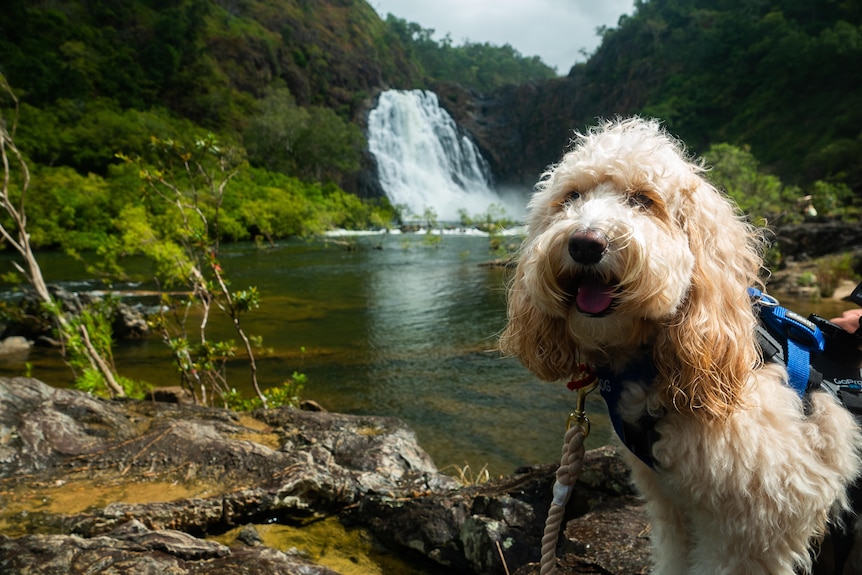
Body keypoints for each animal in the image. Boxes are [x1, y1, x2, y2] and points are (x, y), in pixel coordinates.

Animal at [502, 118, 860, 575]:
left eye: (643, 199)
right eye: (571, 197)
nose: (585, 243)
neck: (650, 366)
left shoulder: (758, 524)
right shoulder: (671, 505)